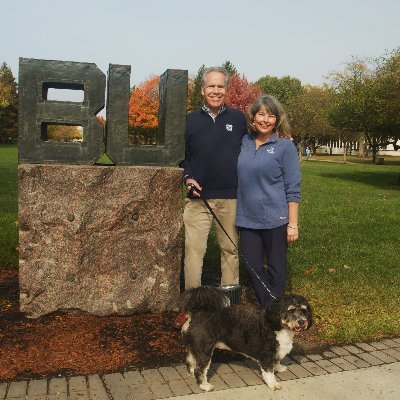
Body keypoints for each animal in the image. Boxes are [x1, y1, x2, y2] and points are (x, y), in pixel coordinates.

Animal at [180, 286, 312, 392]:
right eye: (291, 310)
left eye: (304, 310)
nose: (301, 321)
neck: (276, 325)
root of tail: (197, 312)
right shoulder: (267, 355)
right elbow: (269, 372)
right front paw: (273, 384)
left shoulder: (275, 353)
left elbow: (276, 361)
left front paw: (279, 367)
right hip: (204, 349)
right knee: (200, 369)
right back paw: (204, 386)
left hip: (195, 346)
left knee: (190, 360)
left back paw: (191, 374)